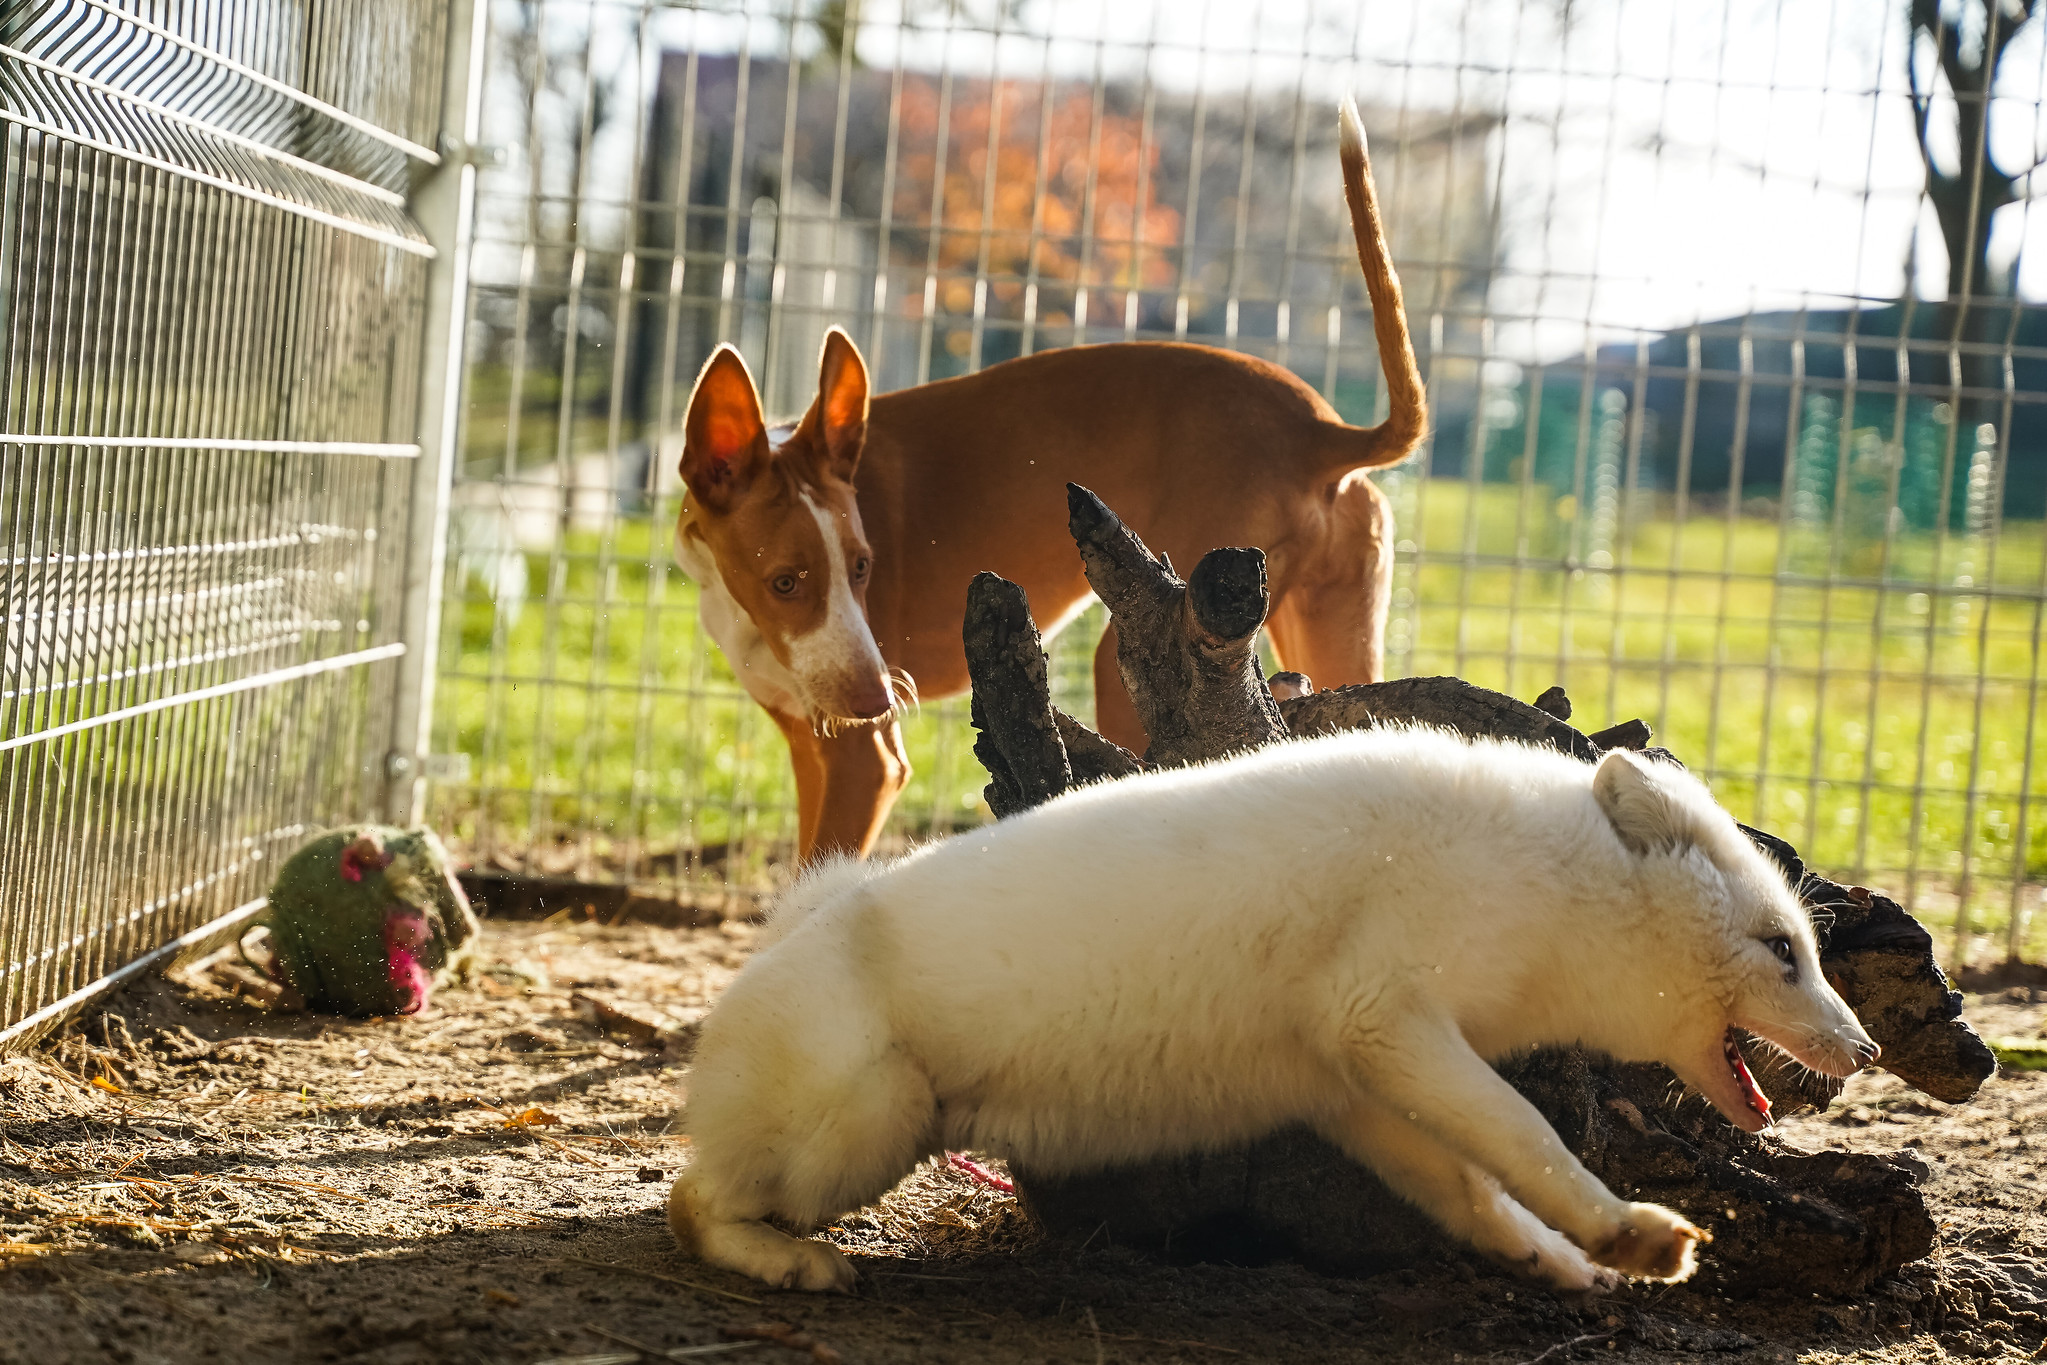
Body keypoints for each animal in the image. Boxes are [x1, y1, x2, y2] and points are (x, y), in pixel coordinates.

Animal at [667, 724, 1875, 1293]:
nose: (1862, 1049)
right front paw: (1629, 1230)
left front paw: (1570, 1262)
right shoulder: (1380, 1014)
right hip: (875, 1114)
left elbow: (1473, 1188)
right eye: (1781, 951)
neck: (1547, 883)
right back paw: (784, 1260)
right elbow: (1527, 1133)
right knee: (687, 1202)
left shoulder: (1354, 1085)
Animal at [671, 98, 1424, 863]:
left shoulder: (867, 759)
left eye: (862, 567)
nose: (879, 700)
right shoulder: (813, 742)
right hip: (1333, 627)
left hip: (1148, 647)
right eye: (785, 582)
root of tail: (1321, 428)